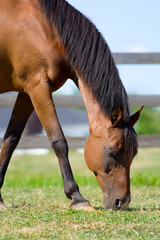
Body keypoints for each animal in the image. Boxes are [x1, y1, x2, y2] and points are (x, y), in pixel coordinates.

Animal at [0, 0, 142, 210]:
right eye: (113, 152)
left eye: (134, 153)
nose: (122, 202)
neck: (46, 28)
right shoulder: (38, 86)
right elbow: (59, 141)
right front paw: (77, 197)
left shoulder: (26, 92)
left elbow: (10, 141)